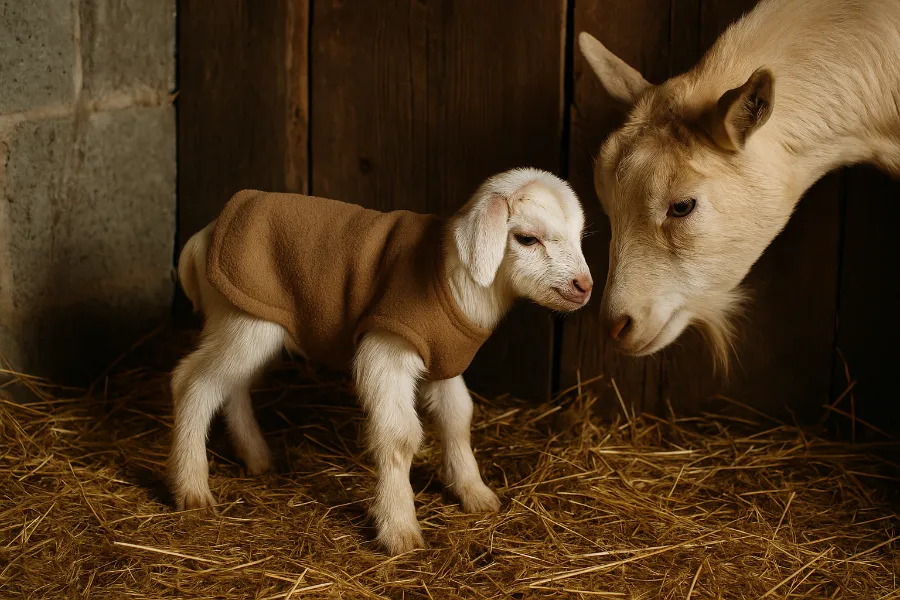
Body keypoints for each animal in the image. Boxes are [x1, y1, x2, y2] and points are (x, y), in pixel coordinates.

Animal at [169, 168, 592, 555]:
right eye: (526, 238)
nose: (584, 287)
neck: (450, 278)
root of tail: (202, 237)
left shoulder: (444, 357)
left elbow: (458, 419)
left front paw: (474, 491)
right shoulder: (387, 348)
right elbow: (400, 435)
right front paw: (399, 528)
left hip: (253, 322)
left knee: (233, 384)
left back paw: (255, 457)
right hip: (243, 318)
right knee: (193, 383)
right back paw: (192, 489)